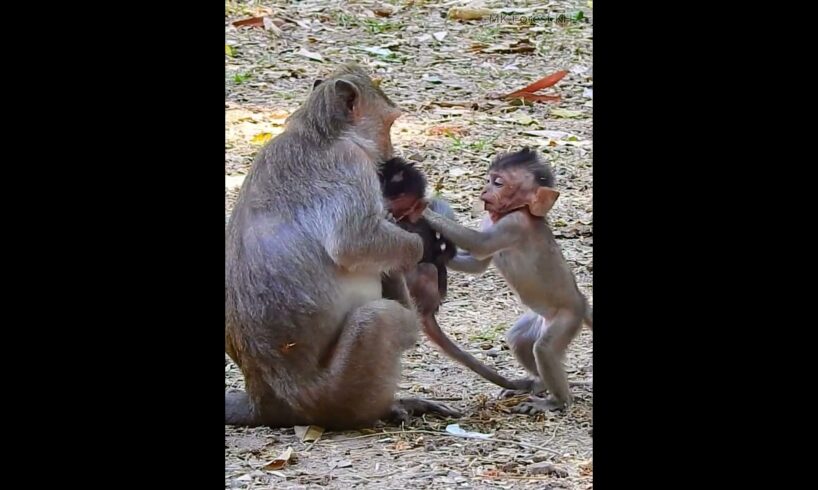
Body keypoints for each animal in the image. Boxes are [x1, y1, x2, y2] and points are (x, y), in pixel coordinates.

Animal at [420, 147, 592, 412]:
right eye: (488, 179)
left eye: (498, 183)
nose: (483, 191)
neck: (515, 210)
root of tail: (582, 300)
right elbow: (478, 264)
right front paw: (441, 251)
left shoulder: (514, 225)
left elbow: (480, 245)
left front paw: (426, 210)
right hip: (539, 320)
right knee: (520, 340)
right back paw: (538, 383)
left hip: (568, 317)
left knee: (544, 349)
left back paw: (556, 401)